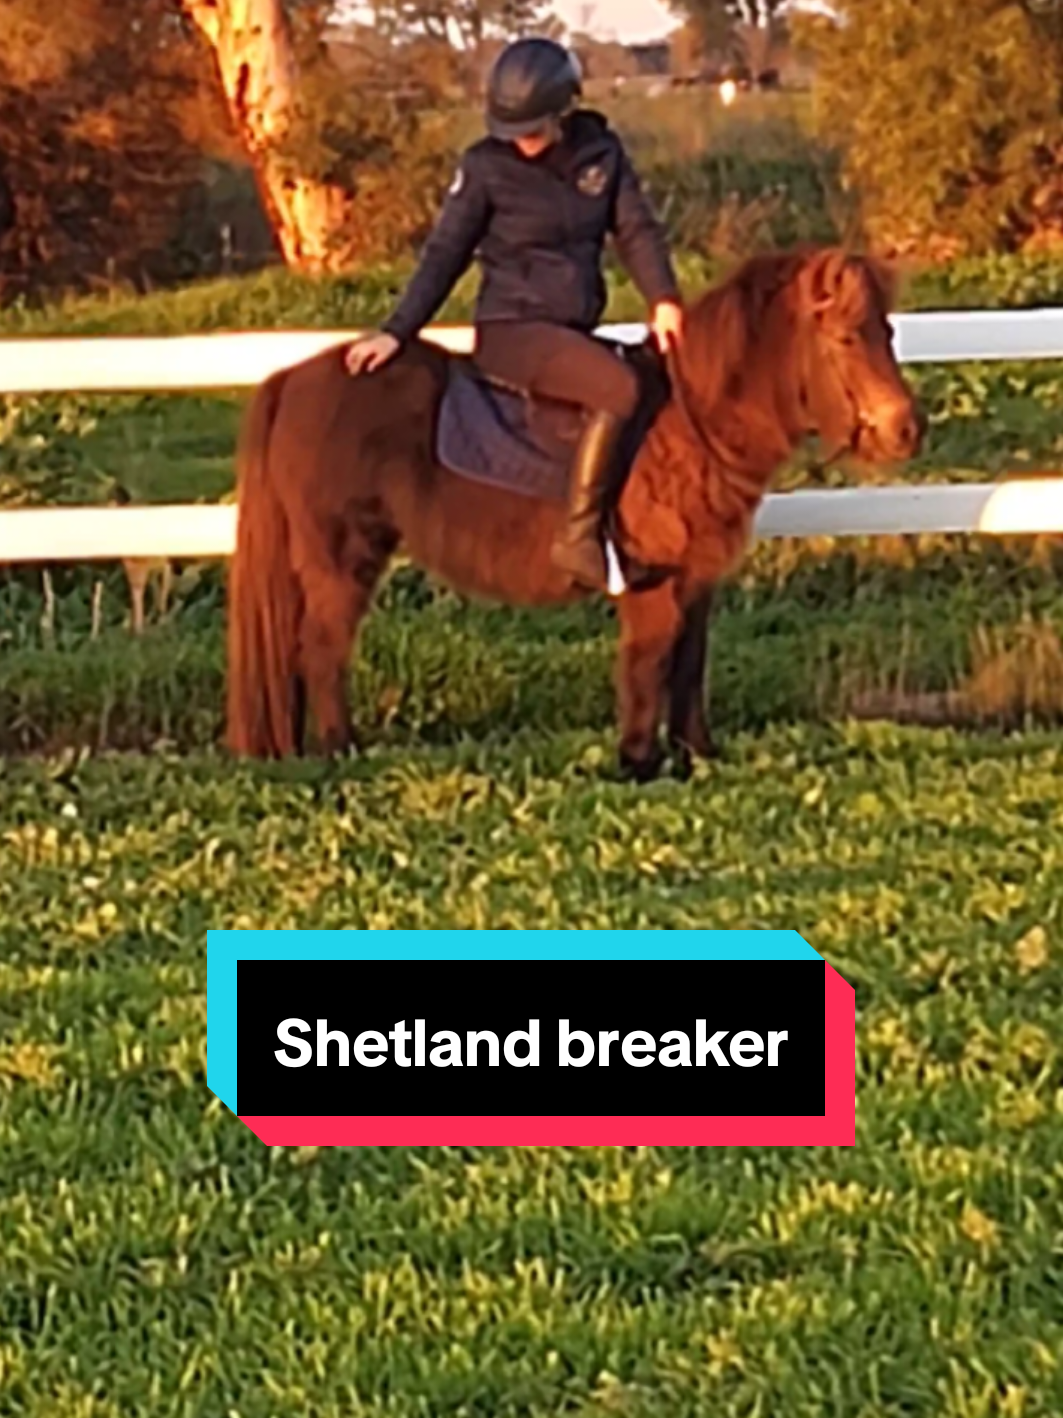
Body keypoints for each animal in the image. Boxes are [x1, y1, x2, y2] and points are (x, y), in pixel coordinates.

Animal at [226, 246, 923, 781]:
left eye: (888, 332)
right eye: (845, 337)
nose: (907, 430)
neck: (688, 423)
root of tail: (291, 378)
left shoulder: (697, 581)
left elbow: (688, 669)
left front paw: (695, 755)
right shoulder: (654, 585)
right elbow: (646, 667)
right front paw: (636, 763)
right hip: (343, 559)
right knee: (322, 651)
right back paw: (341, 750)